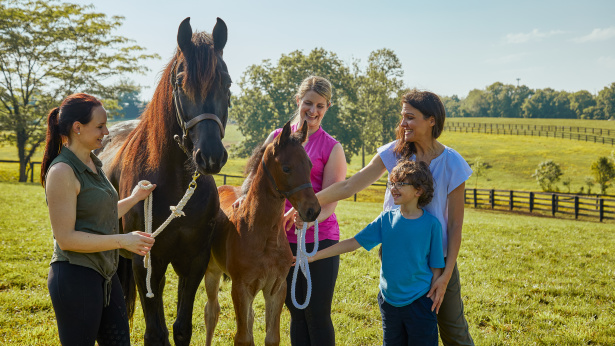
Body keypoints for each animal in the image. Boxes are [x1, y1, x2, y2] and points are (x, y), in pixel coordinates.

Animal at [96, 16, 231, 346]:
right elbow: (156, 333)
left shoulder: (193, 263)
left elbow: (181, 329)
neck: (177, 186)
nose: (210, 156)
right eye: (181, 83)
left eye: (227, 83)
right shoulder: (146, 261)